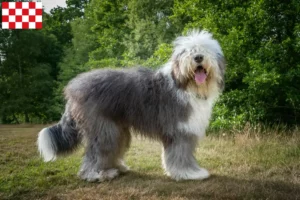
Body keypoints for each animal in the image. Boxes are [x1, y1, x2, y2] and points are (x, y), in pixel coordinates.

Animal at [37, 30, 224, 182]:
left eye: (205, 50)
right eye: (188, 52)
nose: (198, 57)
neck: (185, 85)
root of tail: (73, 90)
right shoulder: (180, 130)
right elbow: (181, 153)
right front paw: (189, 174)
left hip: (116, 127)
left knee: (112, 148)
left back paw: (116, 167)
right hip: (102, 129)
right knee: (96, 152)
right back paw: (96, 174)